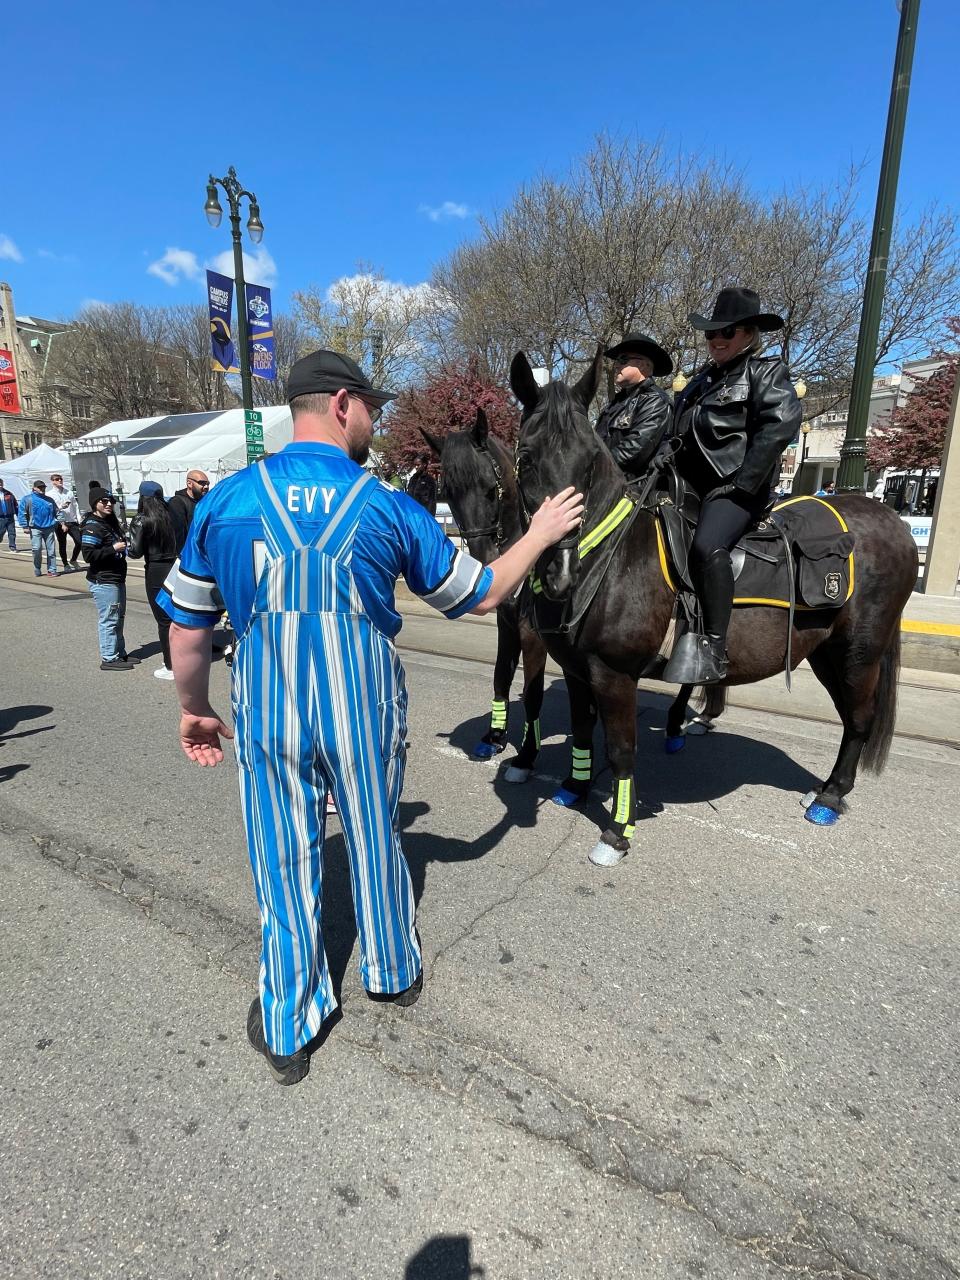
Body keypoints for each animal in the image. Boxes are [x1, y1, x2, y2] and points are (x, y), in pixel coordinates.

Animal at [419, 414, 547, 773]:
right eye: (448, 493)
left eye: (492, 489)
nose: (485, 560)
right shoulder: (507, 623)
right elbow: (501, 675)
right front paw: (495, 736)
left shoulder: (533, 633)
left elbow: (533, 692)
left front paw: (527, 754)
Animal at [512, 353, 926, 870]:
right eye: (526, 457)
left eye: (589, 461)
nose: (561, 569)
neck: (613, 556)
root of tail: (894, 521)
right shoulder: (575, 669)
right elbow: (584, 728)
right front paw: (574, 786)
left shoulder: (614, 674)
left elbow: (623, 750)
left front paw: (617, 831)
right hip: (825, 652)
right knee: (852, 717)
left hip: (860, 653)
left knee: (861, 718)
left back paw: (829, 798)